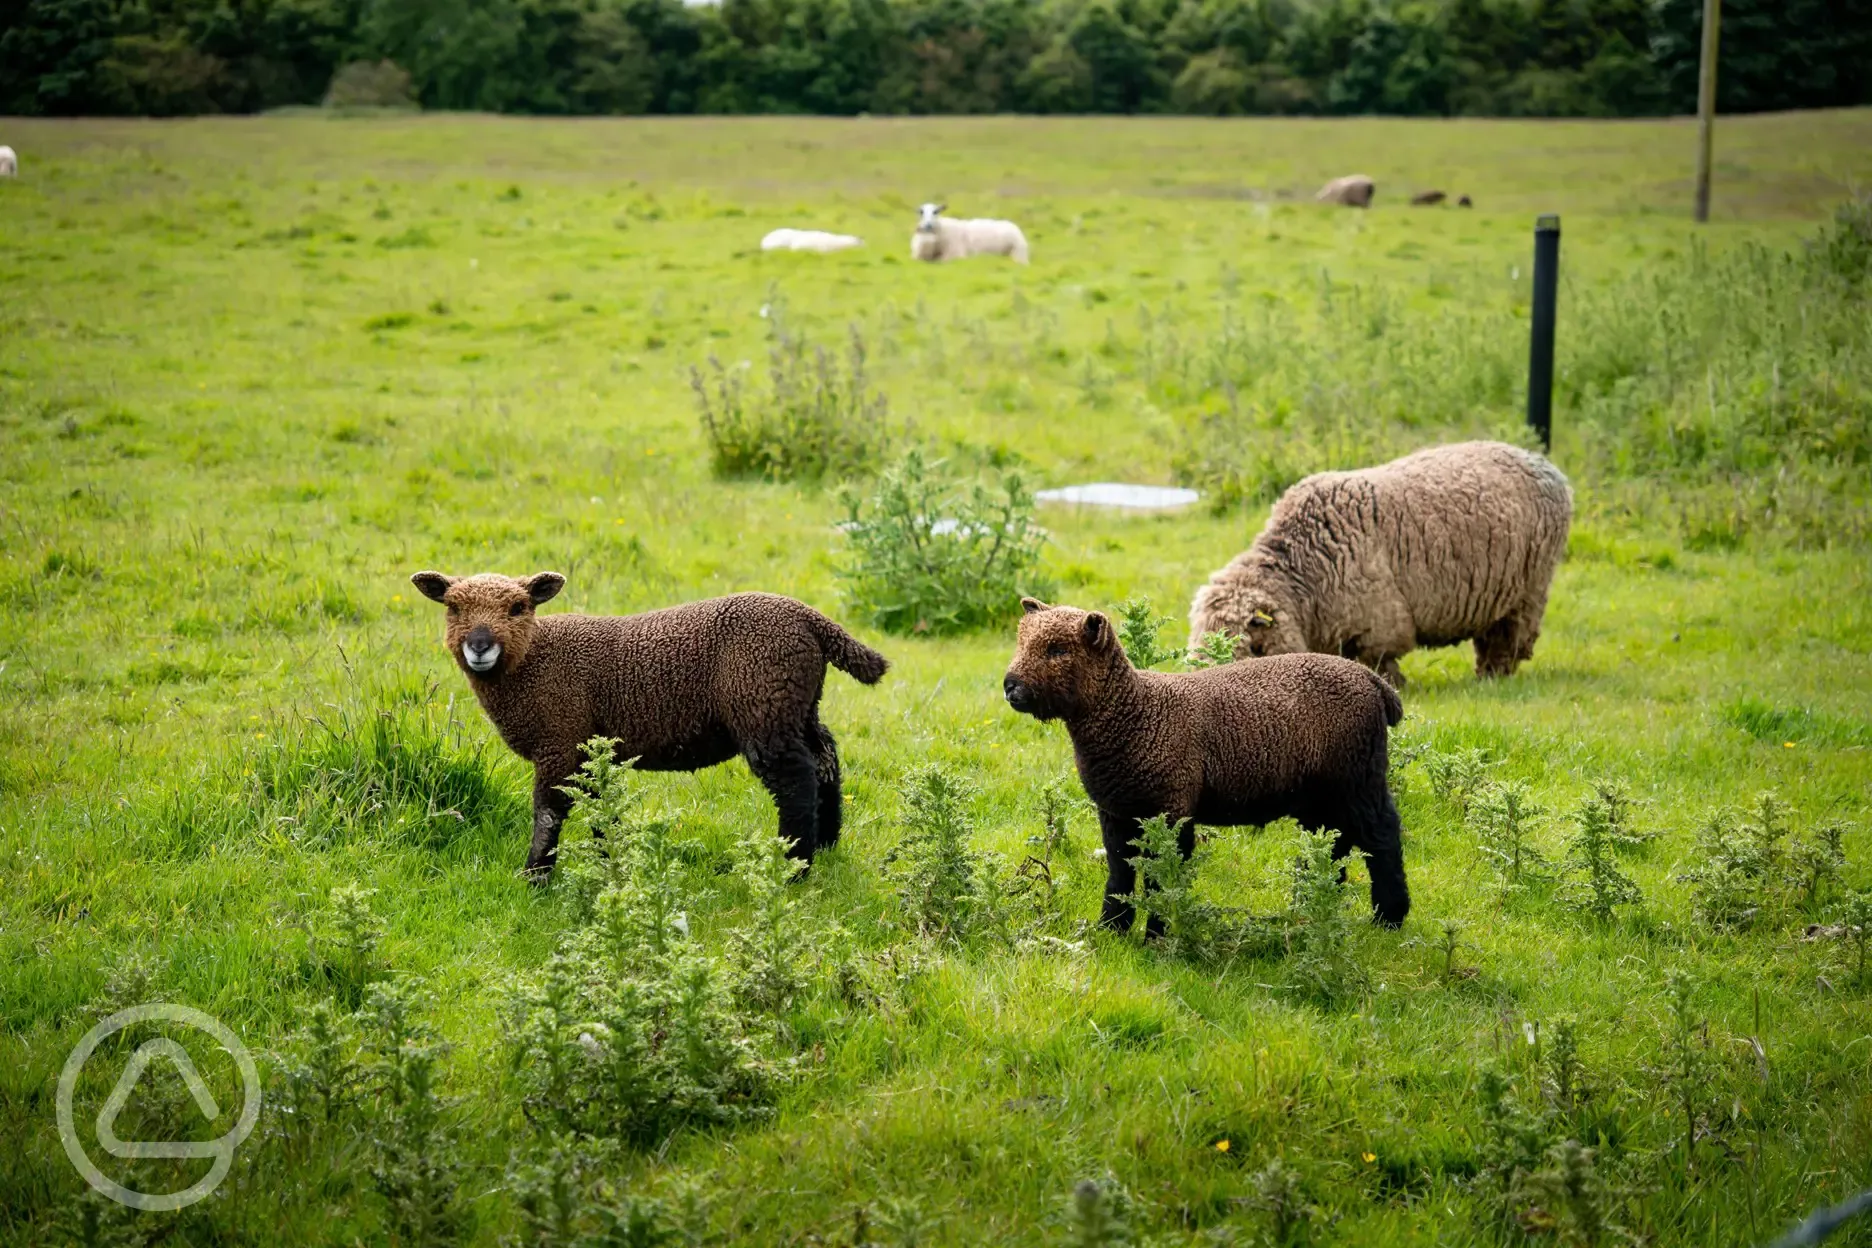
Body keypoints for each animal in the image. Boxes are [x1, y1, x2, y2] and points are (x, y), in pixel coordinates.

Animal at [411, 576, 891, 879]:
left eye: (518, 607)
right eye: (453, 607)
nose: (480, 647)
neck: (534, 660)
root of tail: (810, 619)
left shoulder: (558, 741)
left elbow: (548, 813)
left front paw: (535, 878)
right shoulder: (589, 748)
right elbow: (603, 807)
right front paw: (610, 863)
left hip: (762, 701)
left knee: (796, 780)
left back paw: (794, 868)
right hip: (797, 704)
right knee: (826, 758)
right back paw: (827, 843)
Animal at [1003, 598, 1407, 935]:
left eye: (1057, 649)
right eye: (1022, 643)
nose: (1010, 686)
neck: (1135, 714)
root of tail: (1373, 682)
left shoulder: (1171, 807)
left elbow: (1163, 878)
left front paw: (1157, 937)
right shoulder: (1115, 811)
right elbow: (1120, 873)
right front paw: (1112, 931)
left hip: (1358, 777)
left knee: (1382, 836)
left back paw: (1389, 918)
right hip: (1320, 794)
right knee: (1331, 843)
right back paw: (1312, 905)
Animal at [1190, 441, 1572, 692]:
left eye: (1247, 646)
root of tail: (1545, 463)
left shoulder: (1379, 622)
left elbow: (1380, 661)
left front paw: (1393, 684)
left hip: (1528, 590)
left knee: (1507, 641)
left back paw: (1493, 678)